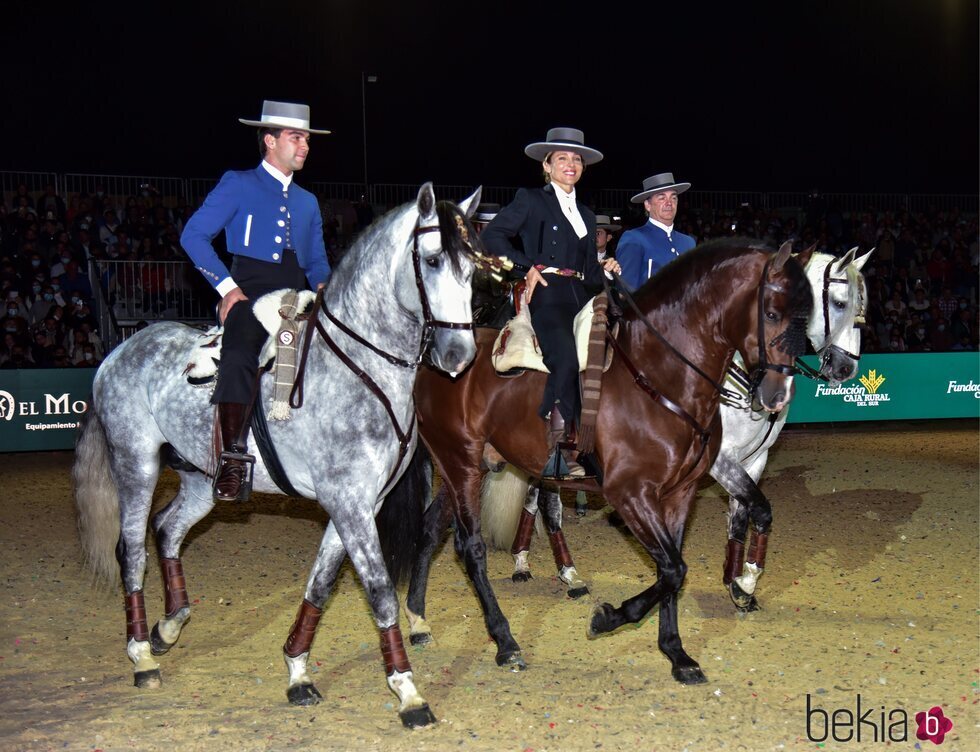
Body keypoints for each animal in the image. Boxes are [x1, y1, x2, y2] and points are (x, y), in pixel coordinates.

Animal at [72, 184, 482, 728]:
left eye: (473, 270)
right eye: (433, 260)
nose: (459, 356)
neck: (360, 367)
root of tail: (122, 348)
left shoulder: (357, 505)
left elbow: (321, 585)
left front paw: (298, 672)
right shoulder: (349, 503)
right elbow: (378, 591)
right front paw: (408, 692)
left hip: (203, 481)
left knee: (168, 530)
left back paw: (168, 627)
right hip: (136, 463)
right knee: (133, 548)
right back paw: (141, 656)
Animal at [378, 238, 816, 684]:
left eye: (807, 316)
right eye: (771, 313)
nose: (778, 396)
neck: (658, 376)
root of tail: (433, 361)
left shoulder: (679, 494)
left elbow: (672, 569)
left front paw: (677, 654)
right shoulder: (630, 493)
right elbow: (674, 569)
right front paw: (608, 618)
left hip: (469, 467)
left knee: (431, 529)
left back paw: (418, 621)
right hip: (461, 464)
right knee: (470, 548)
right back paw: (505, 642)